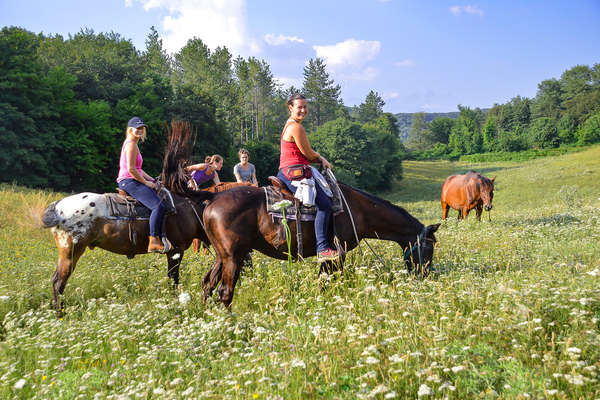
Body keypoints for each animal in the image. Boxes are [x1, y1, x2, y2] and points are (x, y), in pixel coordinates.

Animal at [202, 183, 440, 308]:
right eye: (429, 249)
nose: (426, 275)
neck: (359, 210)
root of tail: (212, 199)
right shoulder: (337, 253)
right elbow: (328, 281)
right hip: (234, 256)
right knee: (225, 290)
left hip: (222, 256)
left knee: (208, 283)